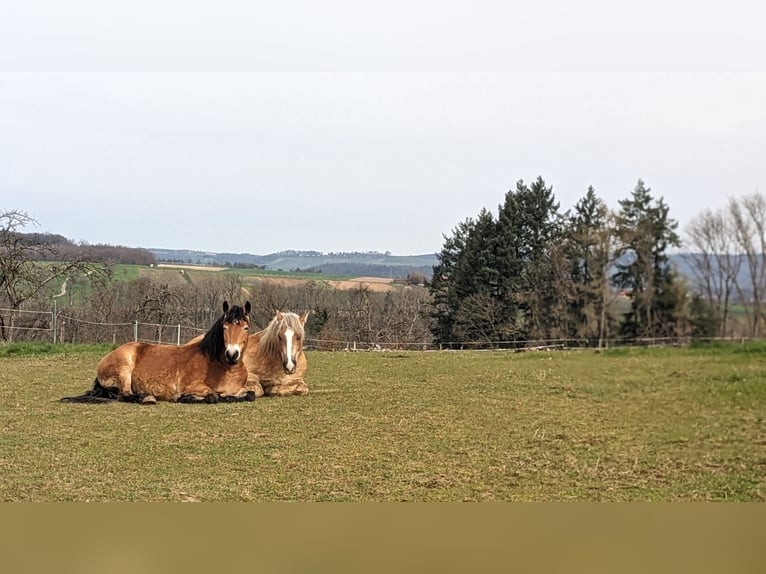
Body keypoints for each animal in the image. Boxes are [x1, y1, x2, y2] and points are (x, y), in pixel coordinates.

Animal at [61, 302, 256, 404]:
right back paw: (147, 397)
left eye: (246, 328)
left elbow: (250, 394)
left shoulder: (240, 389)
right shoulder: (192, 385)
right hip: (124, 370)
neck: (221, 367)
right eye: (225, 328)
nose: (232, 354)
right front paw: (186, 397)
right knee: (125, 394)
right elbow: (212, 395)